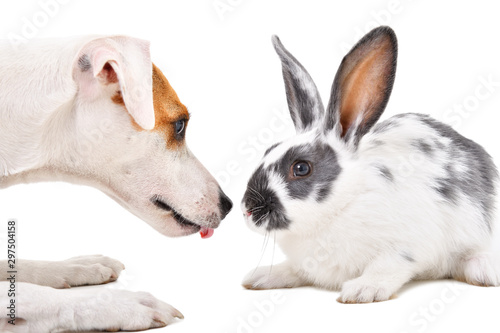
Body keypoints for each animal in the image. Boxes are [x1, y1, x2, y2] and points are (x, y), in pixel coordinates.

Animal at [240, 25, 498, 300]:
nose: (247, 209)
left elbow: (386, 267)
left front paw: (362, 290)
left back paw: (484, 271)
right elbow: (294, 269)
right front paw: (260, 276)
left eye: (301, 168)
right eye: (268, 150)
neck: (344, 203)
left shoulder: (405, 246)